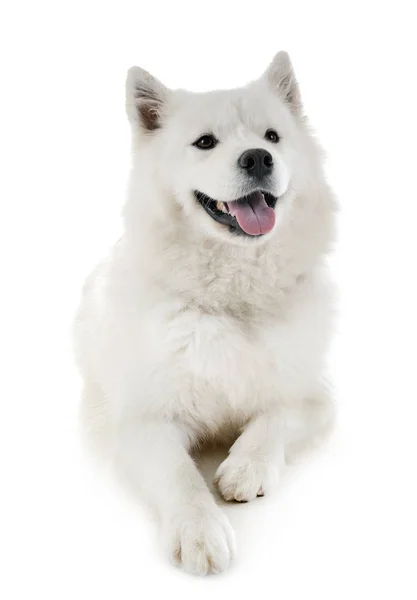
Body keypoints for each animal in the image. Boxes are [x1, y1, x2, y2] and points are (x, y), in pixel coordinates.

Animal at [73, 52, 336, 576]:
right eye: (205, 142)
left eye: (272, 136)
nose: (258, 157)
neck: (232, 300)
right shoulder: (144, 419)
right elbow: (179, 475)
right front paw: (200, 530)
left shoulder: (314, 395)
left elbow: (275, 418)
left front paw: (245, 467)